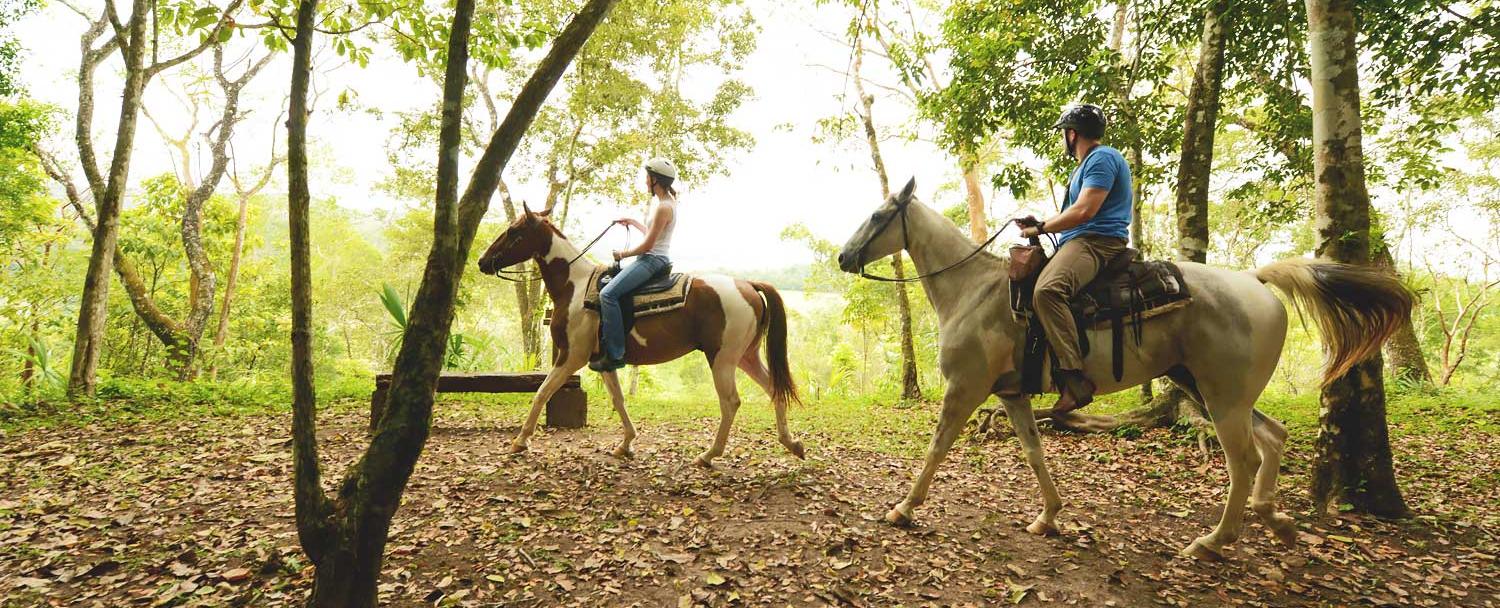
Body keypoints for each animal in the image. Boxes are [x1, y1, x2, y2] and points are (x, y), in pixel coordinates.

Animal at [480, 205, 810, 465]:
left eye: (513, 231)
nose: (483, 261)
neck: (574, 286)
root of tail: (747, 285)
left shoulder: (571, 357)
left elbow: (542, 392)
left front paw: (520, 441)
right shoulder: (603, 361)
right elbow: (618, 399)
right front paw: (626, 444)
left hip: (723, 359)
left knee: (730, 402)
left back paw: (708, 455)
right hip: (745, 356)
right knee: (774, 389)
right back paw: (792, 443)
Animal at [840, 176, 1410, 558]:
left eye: (878, 216)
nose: (845, 257)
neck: (974, 290)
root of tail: (1255, 280)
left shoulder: (966, 388)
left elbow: (937, 448)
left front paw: (904, 508)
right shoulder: (1012, 394)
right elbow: (1034, 453)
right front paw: (1049, 517)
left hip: (1221, 397)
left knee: (1244, 459)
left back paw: (1214, 540)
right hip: (1208, 388)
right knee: (1273, 437)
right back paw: (1277, 521)